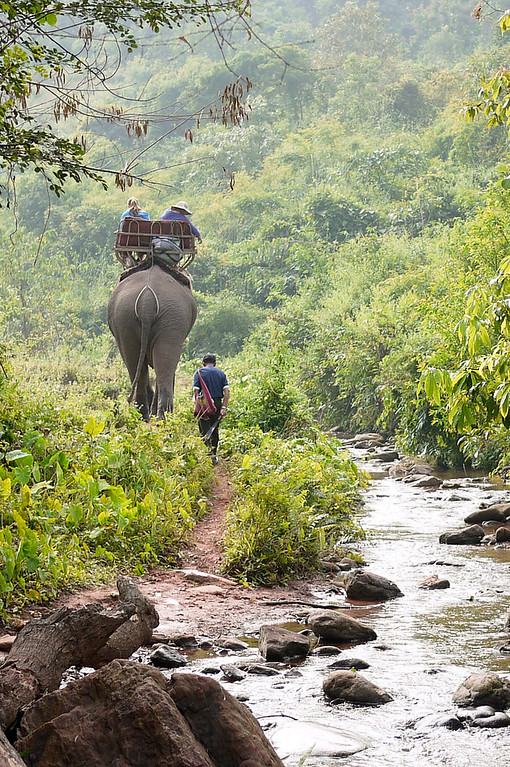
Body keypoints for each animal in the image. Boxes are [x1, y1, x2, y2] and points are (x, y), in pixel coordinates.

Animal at [108, 264, 197, 420]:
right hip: (172, 318)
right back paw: (160, 418)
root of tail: (147, 301)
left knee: (138, 363)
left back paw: (147, 417)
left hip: (126, 317)